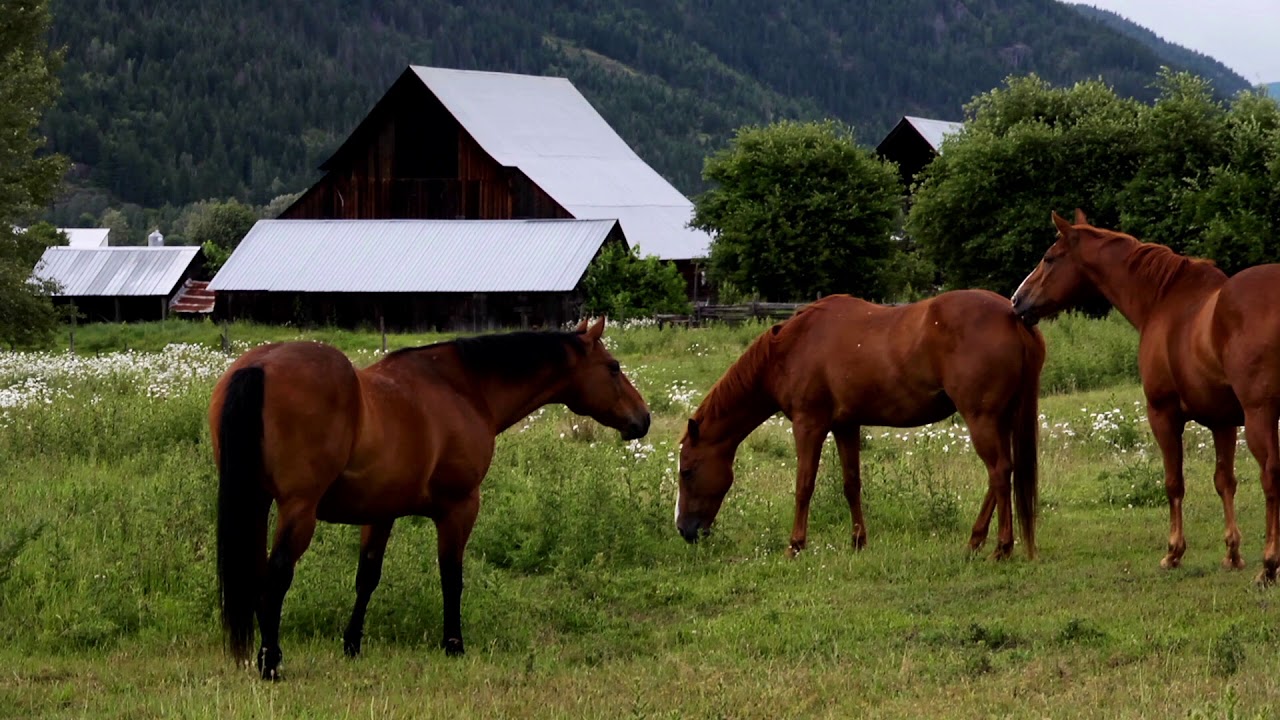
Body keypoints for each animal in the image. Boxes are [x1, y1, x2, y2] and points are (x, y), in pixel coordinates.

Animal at [209, 317, 650, 679]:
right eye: (613, 368)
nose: (642, 419)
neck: (462, 388)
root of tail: (259, 366)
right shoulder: (460, 508)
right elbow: (451, 577)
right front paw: (454, 644)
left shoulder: (380, 512)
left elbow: (367, 578)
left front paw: (352, 644)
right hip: (299, 511)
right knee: (276, 576)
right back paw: (270, 662)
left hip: (256, 503)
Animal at [676, 290, 1045, 559]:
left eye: (687, 471)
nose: (684, 530)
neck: (791, 348)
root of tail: (1013, 315)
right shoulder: (846, 426)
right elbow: (851, 484)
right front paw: (858, 541)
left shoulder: (809, 425)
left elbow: (803, 485)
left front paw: (795, 545)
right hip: (1000, 420)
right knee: (1003, 474)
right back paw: (975, 541)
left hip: (981, 418)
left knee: (999, 473)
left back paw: (1002, 547)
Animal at [1013, 209, 1280, 585]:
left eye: (1050, 259)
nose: (1017, 300)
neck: (1164, 302)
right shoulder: (1222, 422)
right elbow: (1225, 481)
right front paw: (1232, 554)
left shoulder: (1163, 414)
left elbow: (1173, 483)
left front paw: (1173, 553)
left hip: (1260, 417)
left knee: (1271, 478)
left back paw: (1269, 565)